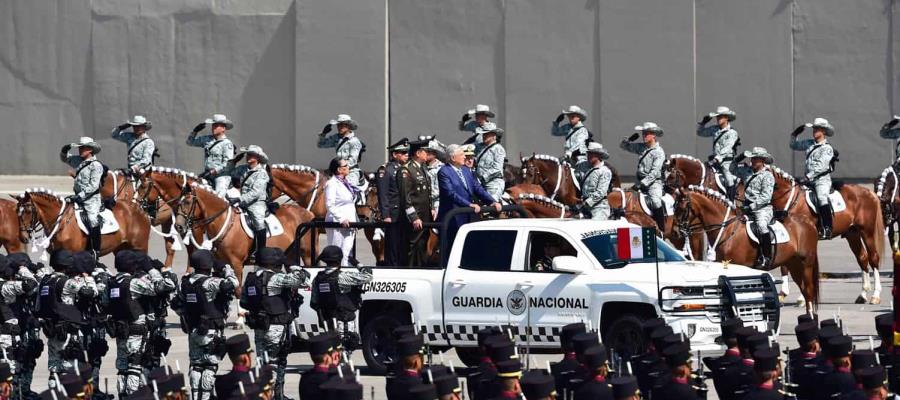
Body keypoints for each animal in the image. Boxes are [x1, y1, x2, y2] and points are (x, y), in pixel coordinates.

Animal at [17, 188, 149, 256]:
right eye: (17, 211)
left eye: (28, 211)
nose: (23, 238)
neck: (62, 222)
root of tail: (139, 209)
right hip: (121, 248)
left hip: (140, 247)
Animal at [672, 188, 820, 316]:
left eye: (682, 208)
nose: (675, 232)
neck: (727, 230)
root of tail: (808, 222)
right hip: (794, 264)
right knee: (805, 290)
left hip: (806, 264)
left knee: (809, 290)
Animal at [768, 164, 884, 304]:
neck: (791, 201)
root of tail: (869, 192)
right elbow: (785, 265)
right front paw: (784, 294)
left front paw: (802, 298)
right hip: (853, 234)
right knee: (862, 258)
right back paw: (862, 294)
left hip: (867, 232)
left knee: (873, 258)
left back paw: (876, 295)